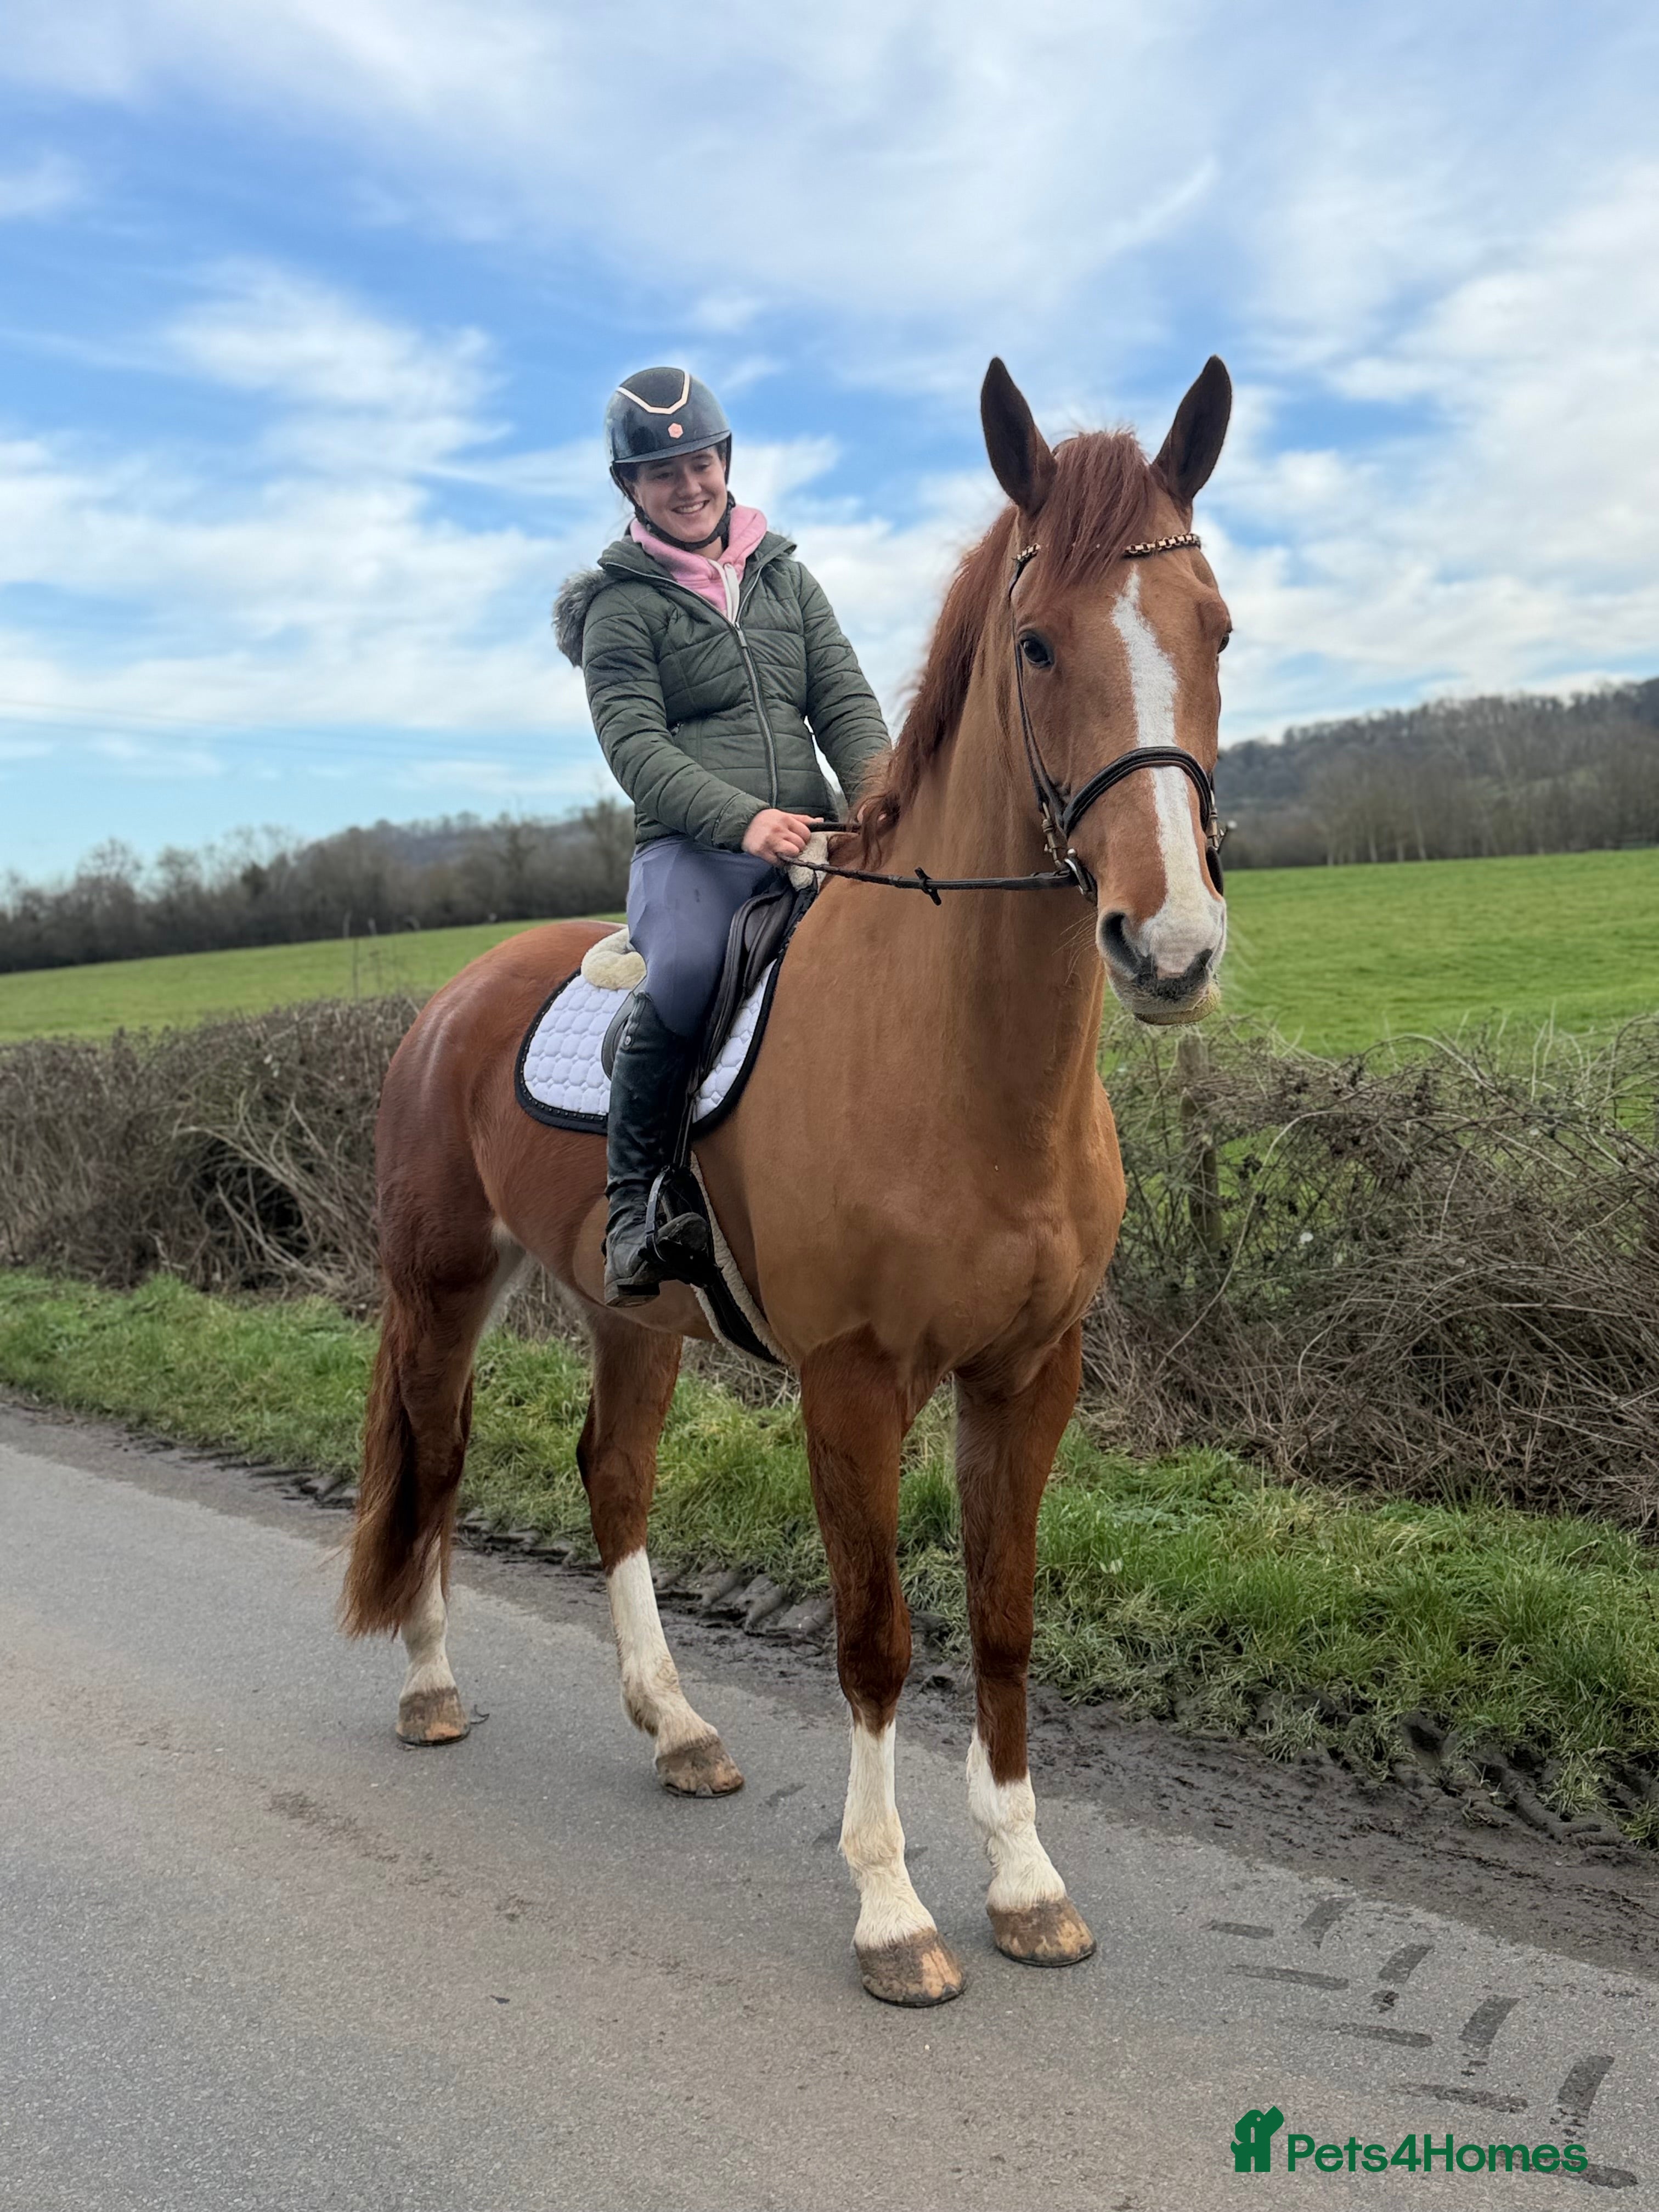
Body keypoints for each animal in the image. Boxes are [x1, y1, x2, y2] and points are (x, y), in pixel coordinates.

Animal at [342, 355, 1233, 2007]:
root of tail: (451, 1000)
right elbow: (876, 1635)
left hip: (630, 1317)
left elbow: (1003, 1623)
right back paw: (431, 1686)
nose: (1172, 948)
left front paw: (1027, 1882)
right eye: (1037, 641)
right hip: (439, 1289)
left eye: (1215, 627)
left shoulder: (1033, 1374)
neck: (962, 1062)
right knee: (435, 1461)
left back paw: (676, 1726)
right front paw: (893, 1912)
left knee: (612, 1479)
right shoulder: (854, 1379)